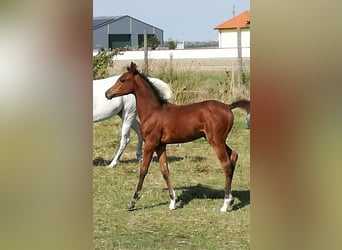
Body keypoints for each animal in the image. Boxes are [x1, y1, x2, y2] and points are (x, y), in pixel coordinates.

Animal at [104, 62, 248, 211]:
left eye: (122, 80)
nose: (107, 93)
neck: (153, 111)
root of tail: (228, 106)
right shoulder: (161, 145)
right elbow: (164, 170)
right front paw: (173, 201)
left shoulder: (150, 143)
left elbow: (143, 169)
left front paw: (132, 202)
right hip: (219, 140)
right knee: (234, 156)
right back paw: (231, 199)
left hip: (216, 141)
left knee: (226, 164)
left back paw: (225, 204)